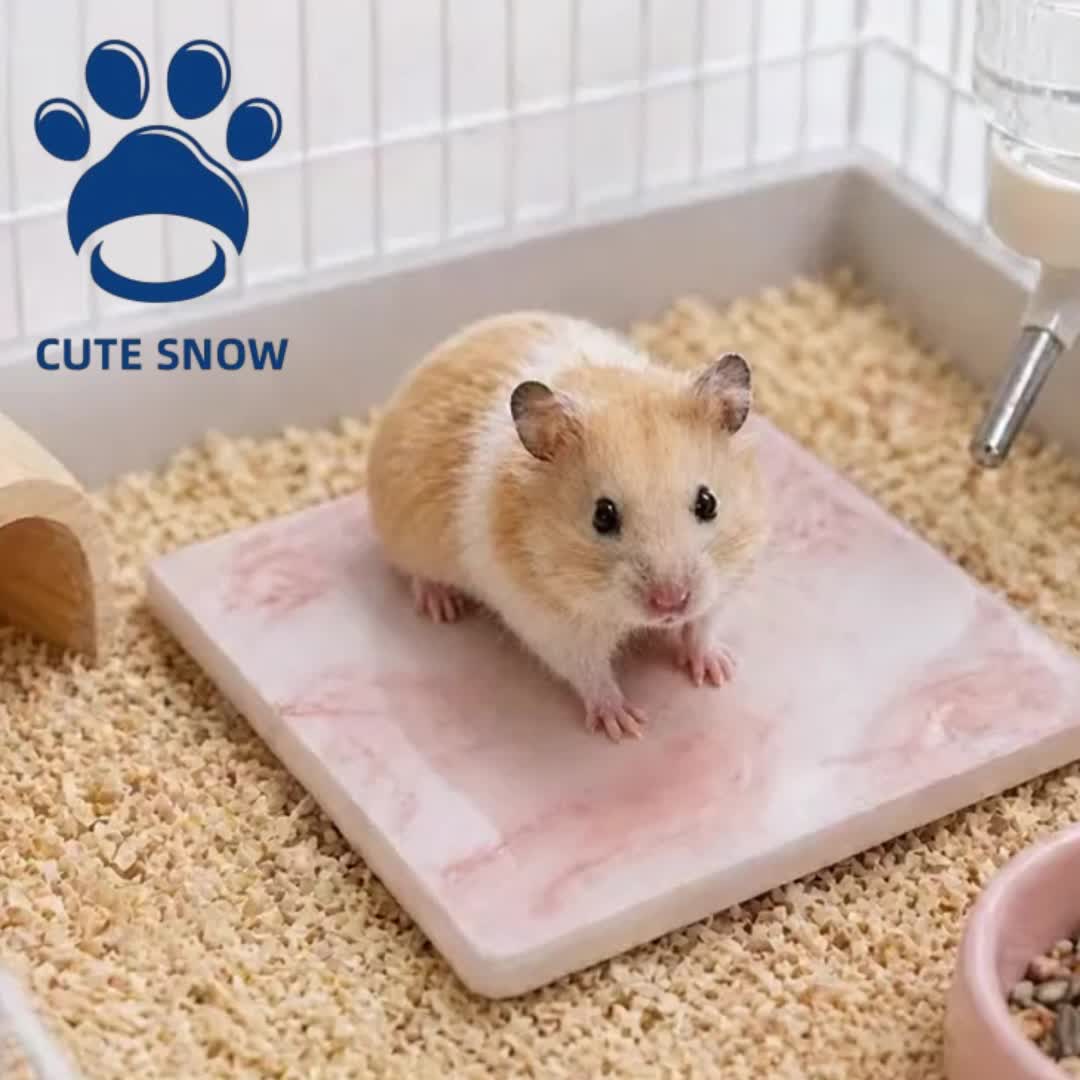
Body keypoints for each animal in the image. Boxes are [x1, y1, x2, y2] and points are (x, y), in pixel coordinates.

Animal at [366, 311, 768, 741]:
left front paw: (719, 670)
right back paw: (441, 606)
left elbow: (702, 627)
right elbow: (591, 673)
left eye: (708, 503)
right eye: (602, 516)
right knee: (415, 574)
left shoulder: (722, 585)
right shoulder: (552, 625)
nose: (670, 604)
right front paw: (624, 725)